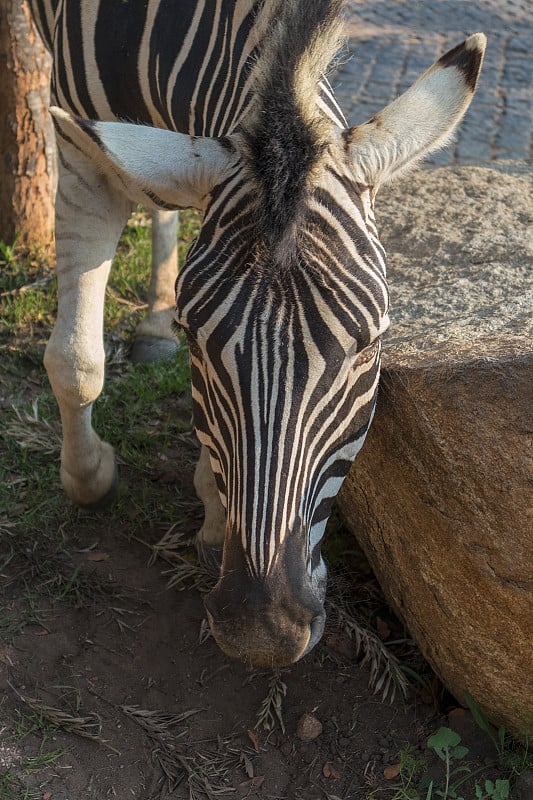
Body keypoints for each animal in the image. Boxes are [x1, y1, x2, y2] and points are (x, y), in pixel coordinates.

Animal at [30, 0, 486, 668]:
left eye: (371, 348)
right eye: (196, 342)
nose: (262, 634)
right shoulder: (80, 149)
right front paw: (89, 480)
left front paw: (213, 512)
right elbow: (75, 361)